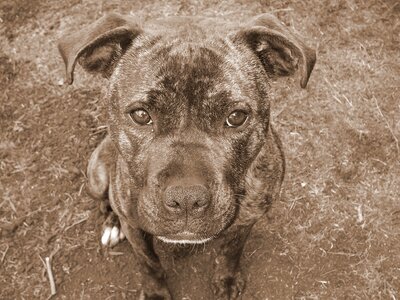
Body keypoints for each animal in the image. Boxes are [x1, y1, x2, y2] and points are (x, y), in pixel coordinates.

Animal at [58, 11, 316, 298]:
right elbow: (148, 263)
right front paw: (156, 292)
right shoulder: (135, 228)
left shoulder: (247, 219)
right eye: (141, 115)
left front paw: (226, 279)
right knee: (107, 201)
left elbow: (231, 250)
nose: (186, 200)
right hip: (98, 175)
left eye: (236, 117)